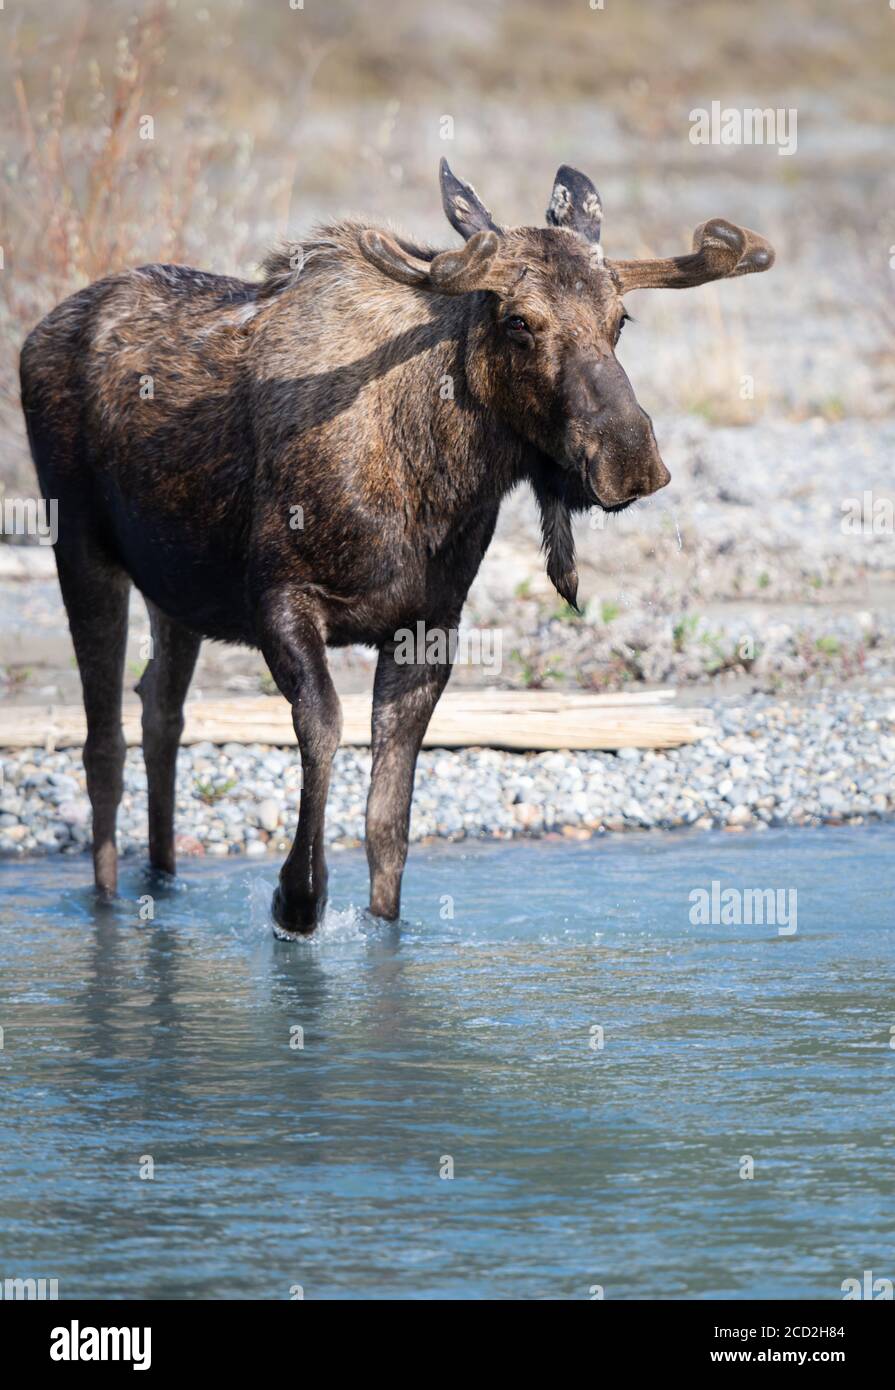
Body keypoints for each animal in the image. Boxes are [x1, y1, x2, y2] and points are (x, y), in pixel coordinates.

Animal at [19, 160, 774, 936]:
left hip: (176, 593)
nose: (630, 459)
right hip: (80, 547)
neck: (432, 476)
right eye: (518, 322)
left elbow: (389, 824)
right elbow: (324, 729)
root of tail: (34, 336)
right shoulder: (279, 601)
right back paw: (108, 897)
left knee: (159, 712)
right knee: (103, 743)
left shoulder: (428, 625)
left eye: (619, 320)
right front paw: (297, 898)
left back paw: (163, 880)